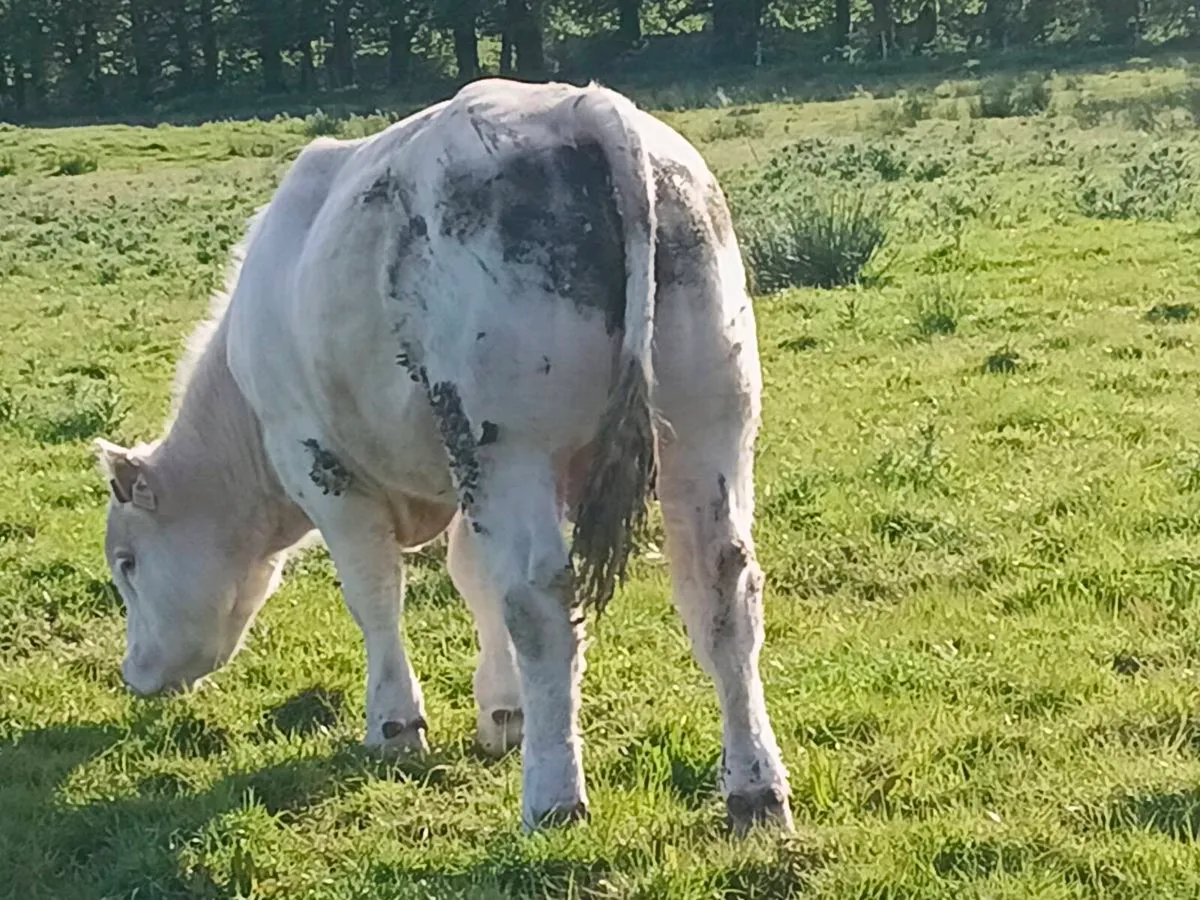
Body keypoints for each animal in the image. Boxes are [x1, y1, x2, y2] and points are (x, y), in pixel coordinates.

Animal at [93, 77, 792, 833]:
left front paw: (395, 726)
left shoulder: (322, 465)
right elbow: (473, 576)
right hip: (708, 418)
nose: (134, 674)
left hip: (513, 444)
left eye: (127, 563)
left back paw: (554, 797)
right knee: (721, 583)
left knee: (542, 601)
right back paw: (755, 789)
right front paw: (506, 712)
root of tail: (582, 108)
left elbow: (374, 593)